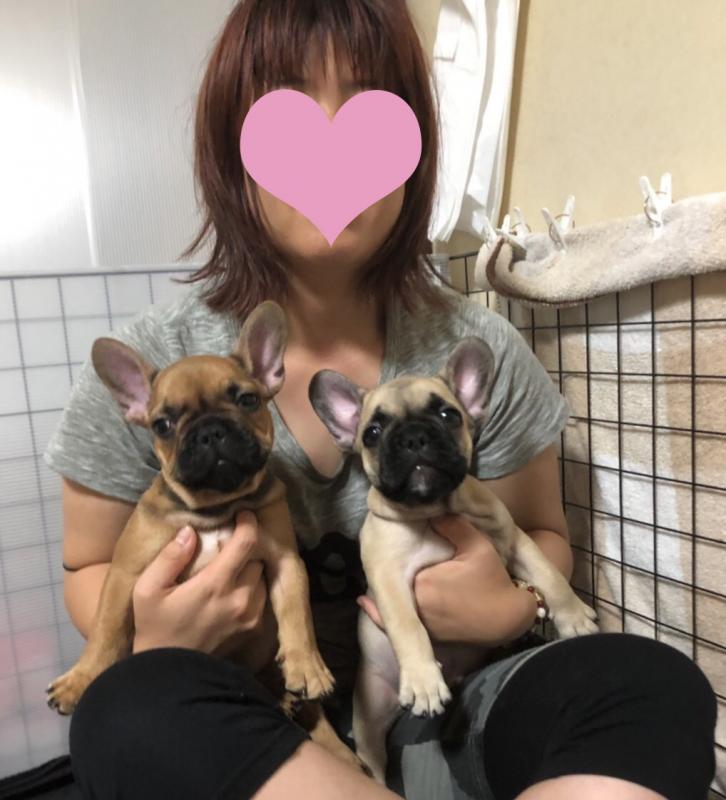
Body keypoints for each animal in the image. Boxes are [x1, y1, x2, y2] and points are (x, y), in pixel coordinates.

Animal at [47, 301, 361, 768]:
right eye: (162, 424)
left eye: (248, 400)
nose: (211, 430)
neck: (216, 508)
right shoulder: (124, 574)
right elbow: (107, 631)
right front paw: (79, 680)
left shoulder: (285, 562)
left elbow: (297, 615)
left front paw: (307, 665)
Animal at [309, 335, 599, 780]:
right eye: (372, 432)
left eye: (449, 415)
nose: (414, 437)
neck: (433, 510)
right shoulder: (388, 579)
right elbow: (409, 626)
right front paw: (424, 680)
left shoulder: (513, 540)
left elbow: (548, 573)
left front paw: (574, 616)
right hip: (370, 718)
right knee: (374, 754)